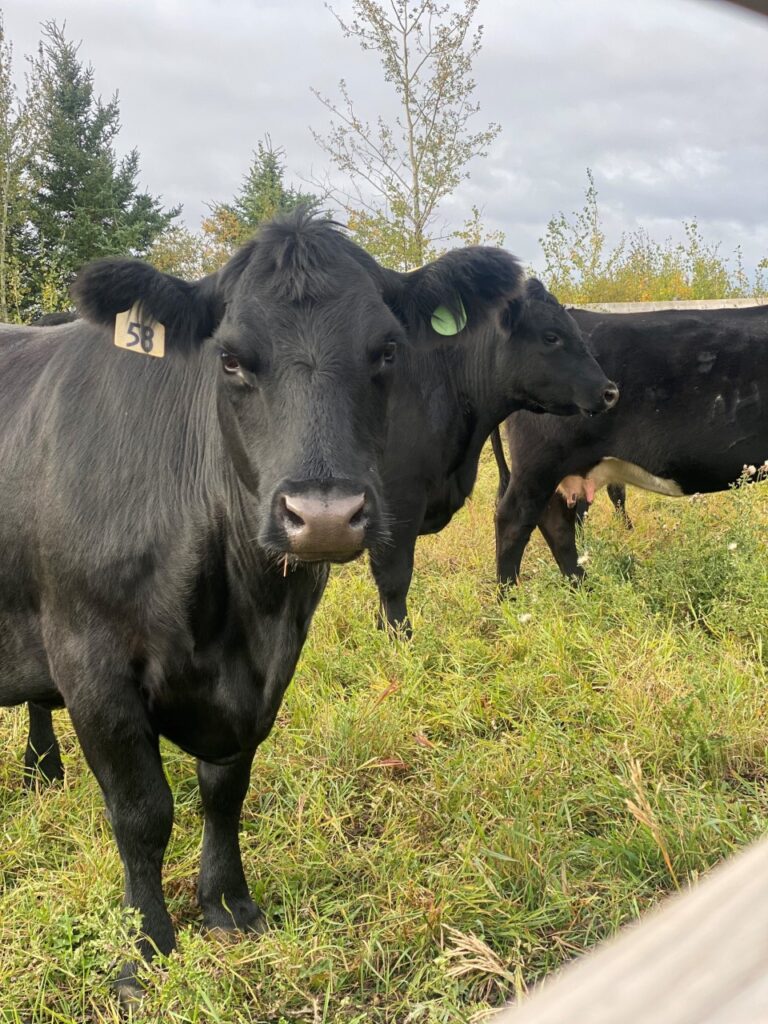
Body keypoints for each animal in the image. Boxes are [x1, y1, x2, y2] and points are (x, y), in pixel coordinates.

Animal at [0, 207, 528, 999]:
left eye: (387, 350)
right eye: (230, 359)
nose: (326, 515)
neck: (231, 609)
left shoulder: (270, 660)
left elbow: (226, 787)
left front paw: (227, 905)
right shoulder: (92, 664)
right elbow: (142, 813)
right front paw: (144, 951)